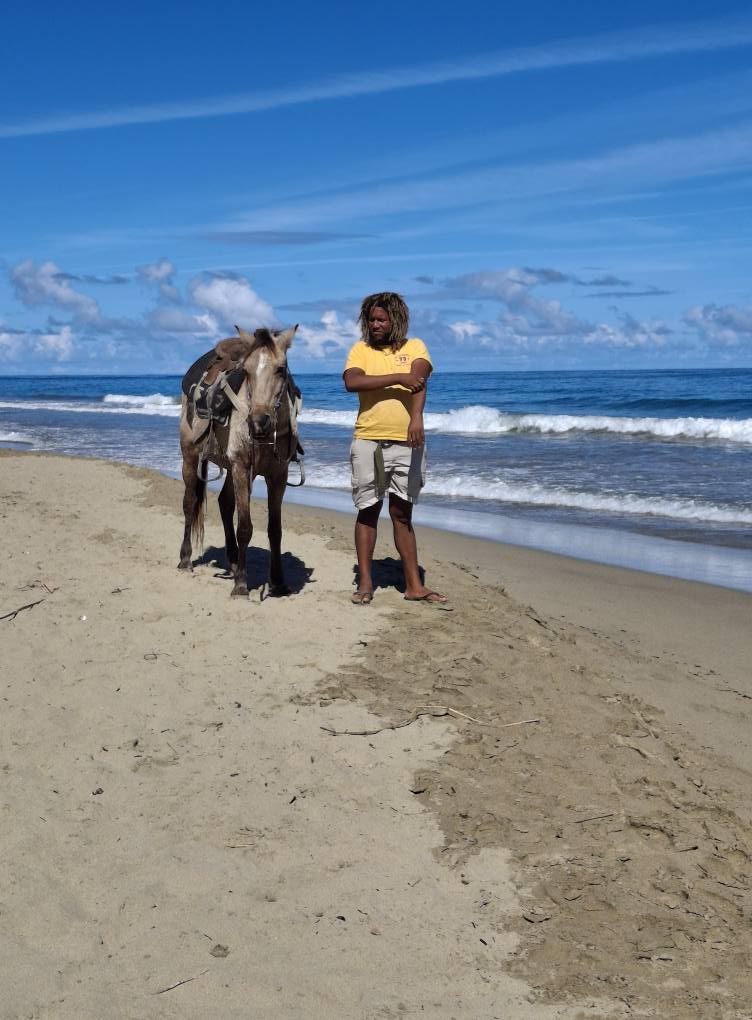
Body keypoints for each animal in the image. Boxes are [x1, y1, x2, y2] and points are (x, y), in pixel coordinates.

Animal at [178, 325, 300, 599]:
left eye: (281, 368)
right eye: (246, 370)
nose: (259, 422)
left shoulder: (278, 475)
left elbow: (275, 530)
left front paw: (279, 582)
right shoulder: (242, 468)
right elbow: (245, 527)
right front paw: (241, 586)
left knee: (224, 503)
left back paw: (234, 562)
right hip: (190, 457)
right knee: (190, 503)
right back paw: (185, 559)